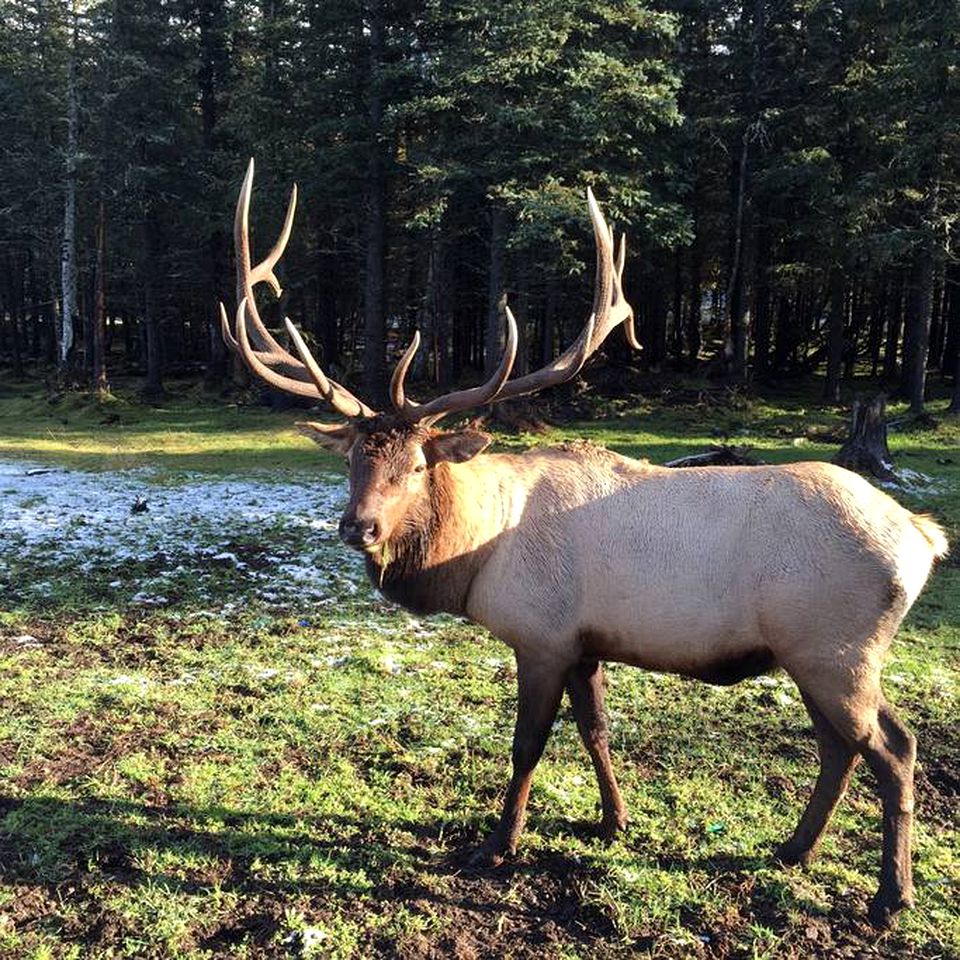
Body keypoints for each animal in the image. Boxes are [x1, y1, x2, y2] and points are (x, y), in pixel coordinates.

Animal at [223, 161, 944, 928]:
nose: (357, 526)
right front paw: (613, 821)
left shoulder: (540, 634)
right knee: (841, 747)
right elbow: (596, 729)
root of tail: (924, 537)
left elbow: (527, 746)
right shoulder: (585, 640)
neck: (475, 556)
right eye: (354, 459)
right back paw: (793, 849)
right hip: (811, 655)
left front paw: (498, 846)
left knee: (893, 747)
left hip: (835, 649)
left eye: (416, 464)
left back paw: (890, 895)